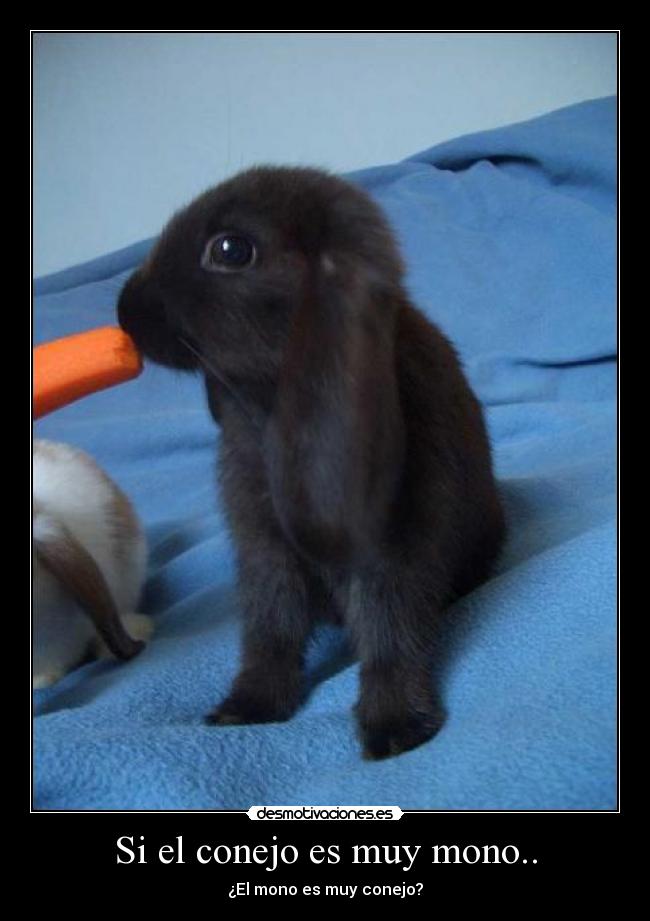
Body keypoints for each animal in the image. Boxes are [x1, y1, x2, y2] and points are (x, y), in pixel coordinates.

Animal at [117, 165, 506, 759]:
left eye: (231, 250)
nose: (124, 309)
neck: (270, 412)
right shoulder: (263, 547)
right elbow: (269, 630)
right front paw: (246, 708)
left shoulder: (393, 551)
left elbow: (391, 631)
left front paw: (396, 725)